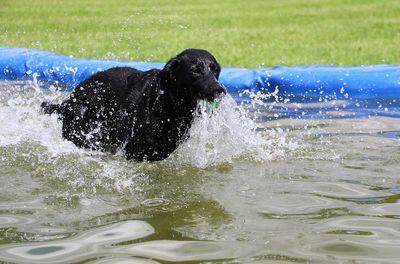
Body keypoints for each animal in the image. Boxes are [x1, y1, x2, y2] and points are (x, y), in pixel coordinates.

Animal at [43, 49, 228, 161]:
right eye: (195, 69)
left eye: (215, 69)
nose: (219, 90)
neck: (169, 102)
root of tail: (70, 99)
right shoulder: (133, 151)